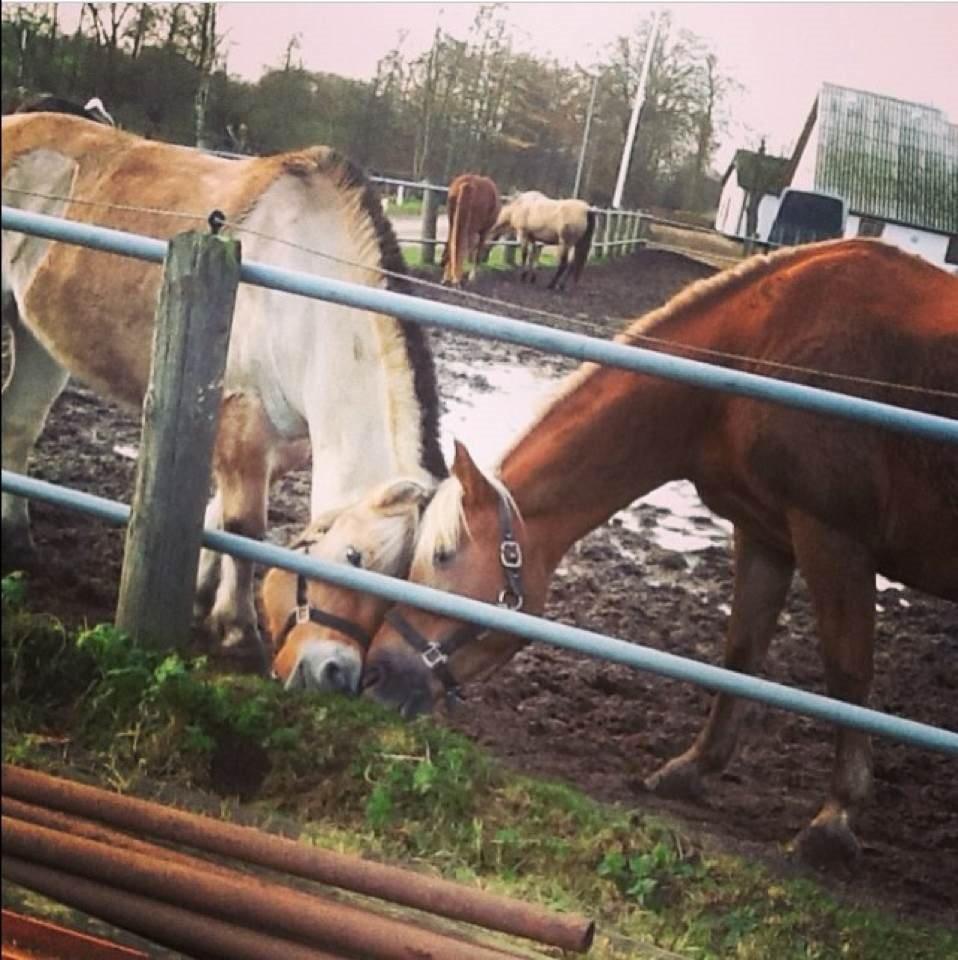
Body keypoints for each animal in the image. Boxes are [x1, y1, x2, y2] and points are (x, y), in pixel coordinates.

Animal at [0, 110, 448, 684]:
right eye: (354, 557)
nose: (334, 674)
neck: (305, 302)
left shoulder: (284, 445)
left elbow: (215, 518)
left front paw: (200, 601)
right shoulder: (242, 420)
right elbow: (244, 528)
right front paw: (237, 630)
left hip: (39, 343)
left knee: (18, 424)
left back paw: (17, 538)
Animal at [362, 238, 958, 864]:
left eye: (443, 556)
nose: (375, 673)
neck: (756, 357)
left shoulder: (833, 537)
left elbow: (848, 673)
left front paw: (836, 816)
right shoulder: (765, 535)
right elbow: (741, 654)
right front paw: (692, 769)